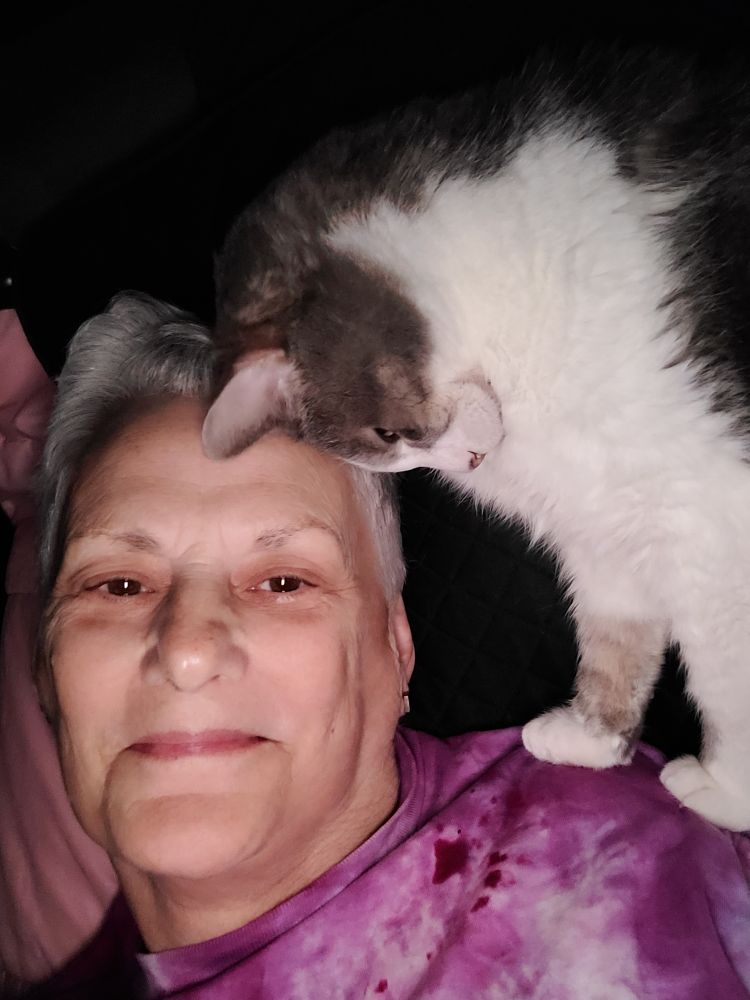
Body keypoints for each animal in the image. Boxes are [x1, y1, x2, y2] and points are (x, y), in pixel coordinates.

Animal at [203, 45, 750, 831]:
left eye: (391, 431)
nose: (470, 458)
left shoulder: (708, 508)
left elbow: (725, 669)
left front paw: (729, 790)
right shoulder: (604, 526)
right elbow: (614, 634)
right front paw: (592, 739)